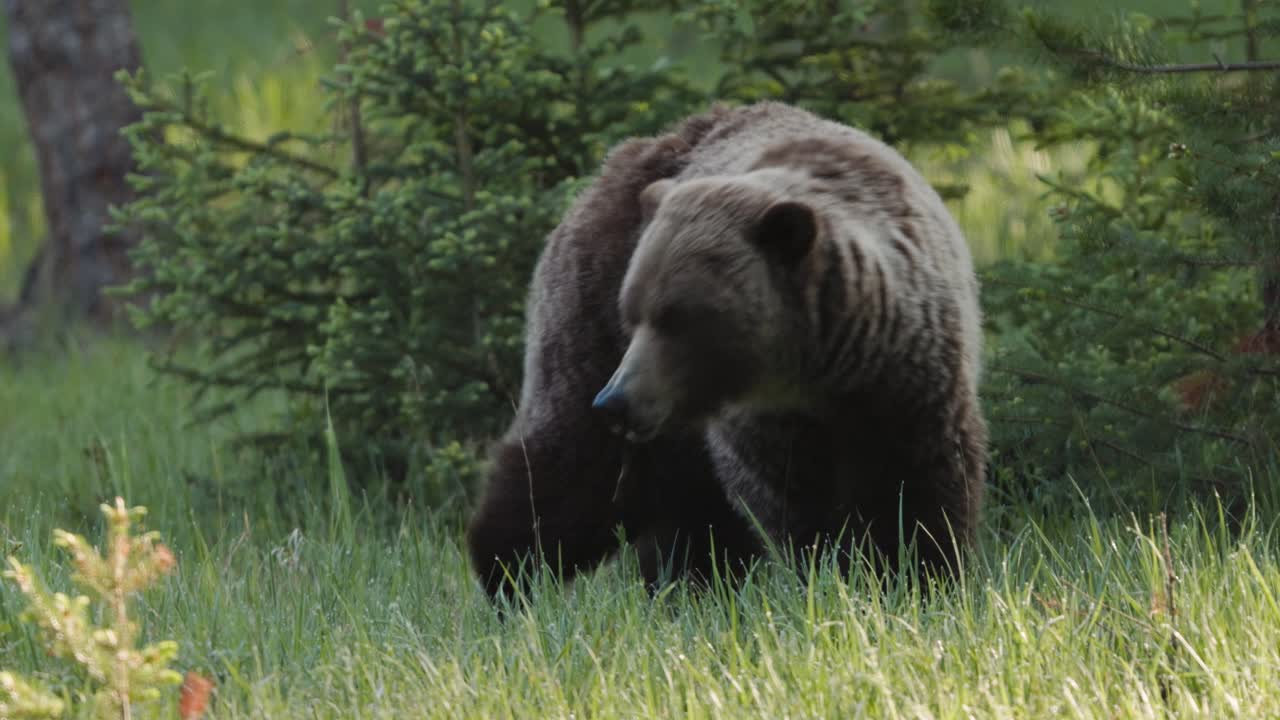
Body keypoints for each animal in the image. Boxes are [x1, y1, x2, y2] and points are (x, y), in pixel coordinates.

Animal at [466, 101, 987, 601]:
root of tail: (621, 157)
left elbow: (918, 491)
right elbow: (798, 509)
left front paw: (921, 577)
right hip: (591, 312)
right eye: (635, 313)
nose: (616, 400)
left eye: (677, 317)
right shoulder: (765, 427)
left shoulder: (912, 383)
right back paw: (509, 575)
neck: (827, 375)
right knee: (573, 467)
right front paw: (840, 575)